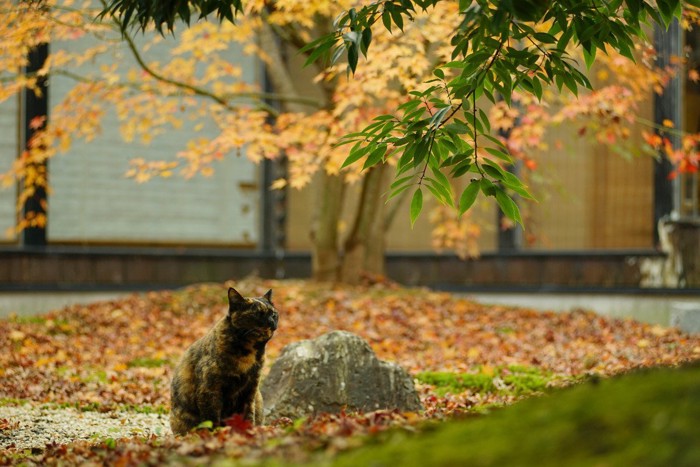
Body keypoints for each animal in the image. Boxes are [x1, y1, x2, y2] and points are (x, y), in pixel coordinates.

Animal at [170, 288, 278, 436]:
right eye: (257, 314)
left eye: (273, 314)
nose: (271, 321)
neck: (248, 355)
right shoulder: (210, 390)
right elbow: (212, 418)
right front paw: (216, 435)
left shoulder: (250, 389)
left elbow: (248, 415)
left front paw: (248, 433)